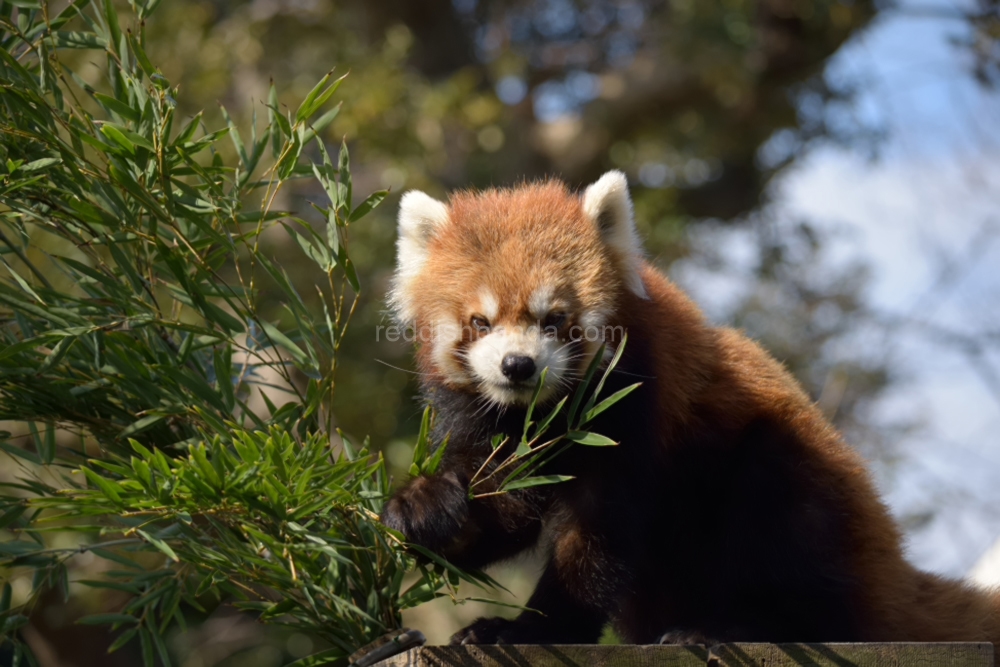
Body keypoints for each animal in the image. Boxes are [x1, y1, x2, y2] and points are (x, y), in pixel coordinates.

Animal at [378, 172, 1000, 648]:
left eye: (553, 319)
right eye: (480, 322)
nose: (518, 366)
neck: (542, 416)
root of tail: (890, 569)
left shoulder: (633, 405)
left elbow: (599, 536)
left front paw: (530, 631)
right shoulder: (490, 423)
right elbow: (506, 507)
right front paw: (426, 510)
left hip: (807, 495)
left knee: (778, 511)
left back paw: (728, 627)